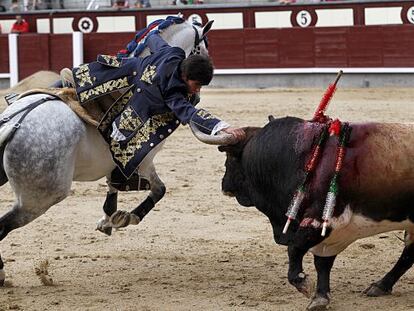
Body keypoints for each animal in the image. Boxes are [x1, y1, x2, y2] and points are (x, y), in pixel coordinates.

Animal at [220, 116, 414, 310]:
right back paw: (381, 285)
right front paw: (320, 296)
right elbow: (322, 263)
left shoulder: (323, 222)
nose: (224, 184)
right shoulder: (330, 232)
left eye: (229, 158)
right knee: (408, 254)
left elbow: (295, 249)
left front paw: (302, 283)